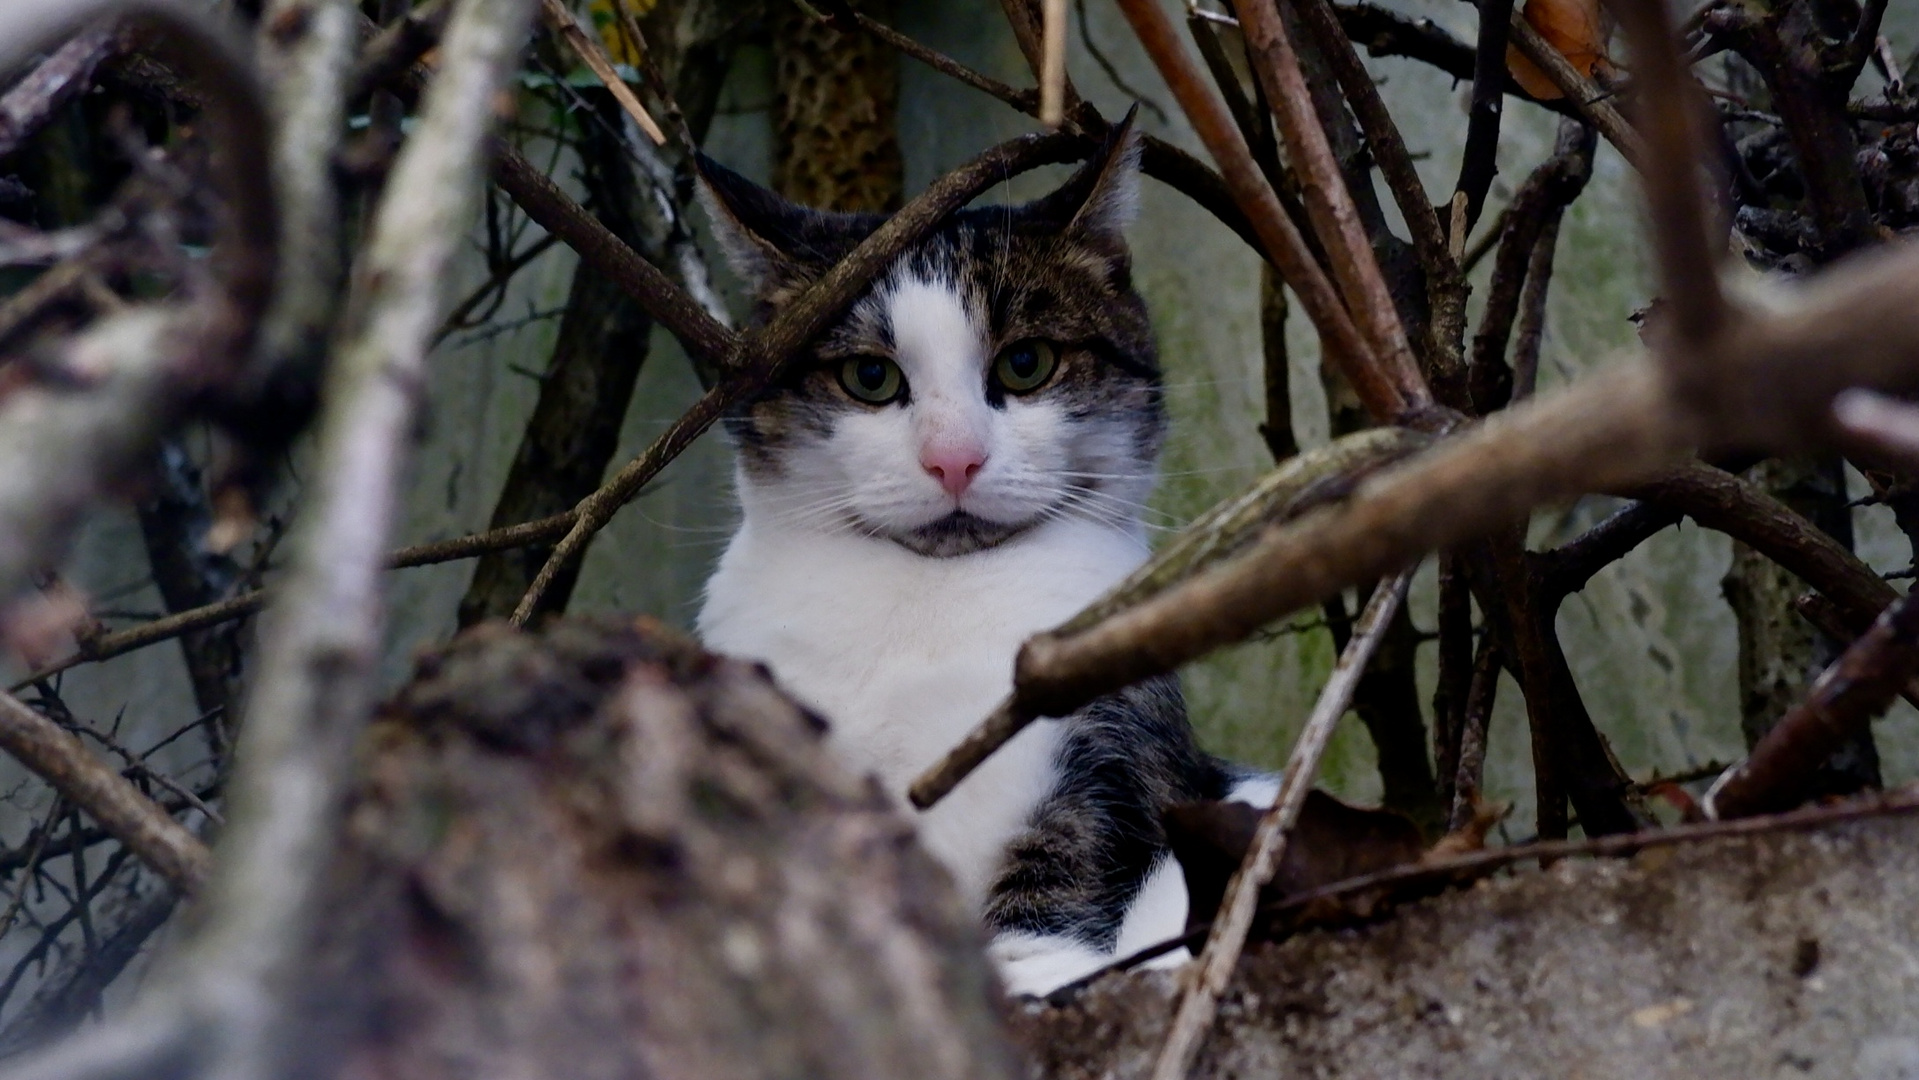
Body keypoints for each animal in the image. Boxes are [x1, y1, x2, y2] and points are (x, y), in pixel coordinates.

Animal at [698, 118, 1266, 997]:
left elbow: (1082, 842)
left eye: (1025, 364)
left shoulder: (1116, 728)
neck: (929, 602)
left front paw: (1025, 972)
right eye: (869, 376)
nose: (953, 459)